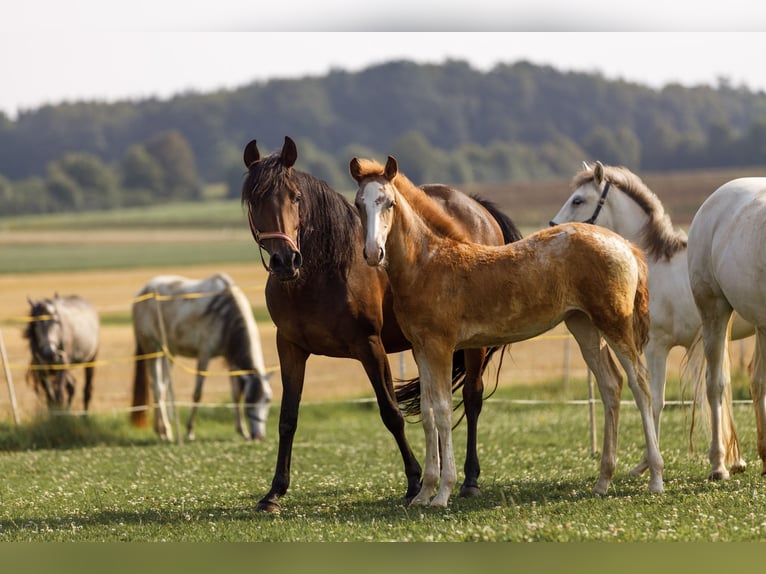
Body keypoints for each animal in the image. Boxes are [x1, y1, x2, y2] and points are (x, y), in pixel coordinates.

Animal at [130, 273, 272, 442]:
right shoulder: (205, 355)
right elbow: (197, 393)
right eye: (250, 400)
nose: (257, 436)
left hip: (168, 353)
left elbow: (236, 394)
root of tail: (142, 292)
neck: (225, 313)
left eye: (268, 399)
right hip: (151, 347)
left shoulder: (232, 361)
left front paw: (242, 431)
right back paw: (165, 430)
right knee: (157, 387)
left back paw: (162, 431)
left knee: (162, 387)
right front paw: (190, 432)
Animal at [241, 136, 521, 512]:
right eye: (255, 200)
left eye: (295, 197)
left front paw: (414, 481)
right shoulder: (290, 347)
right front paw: (274, 492)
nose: (285, 261)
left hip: (472, 343)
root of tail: (478, 208)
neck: (324, 272)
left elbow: (391, 413)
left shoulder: (369, 346)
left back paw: (470, 480)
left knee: (472, 399)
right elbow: (288, 418)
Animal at [350, 155, 663, 507]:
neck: (428, 265)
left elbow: (443, 411)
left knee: (641, 383)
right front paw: (424, 493)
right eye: (359, 204)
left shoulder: (441, 347)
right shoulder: (421, 349)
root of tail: (625, 244)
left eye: (388, 203)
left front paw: (443, 492)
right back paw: (603, 481)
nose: (373, 253)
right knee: (611, 385)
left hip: (615, 323)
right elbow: (429, 413)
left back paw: (655, 478)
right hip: (583, 324)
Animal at [550, 161, 751, 474]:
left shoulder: (657, 347)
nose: (554, 229)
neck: (651, 265)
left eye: (578, 200)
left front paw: (646, 463)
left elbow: (654, 400)